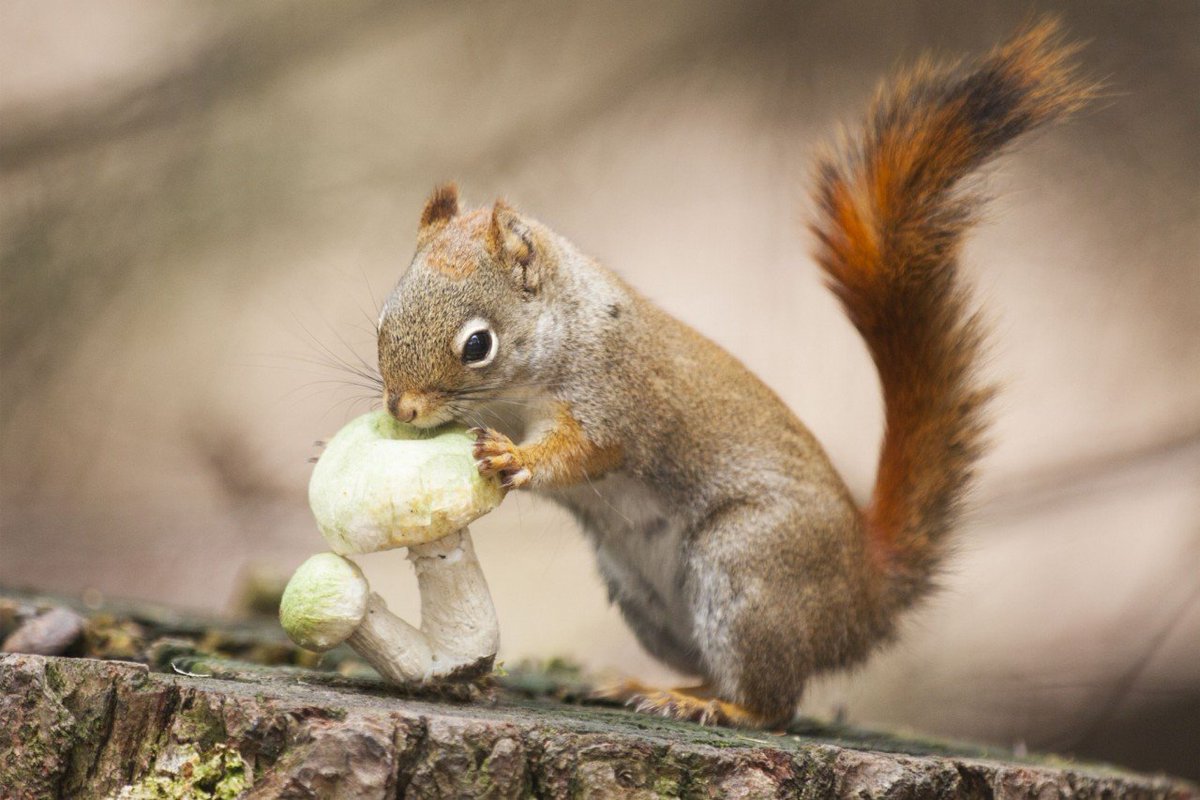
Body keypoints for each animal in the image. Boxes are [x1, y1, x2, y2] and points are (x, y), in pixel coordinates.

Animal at [376, 21, 1099, 729]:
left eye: (478, 344)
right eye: (382, 317)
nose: (402, 411)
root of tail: (863, 597)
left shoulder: (615, 393)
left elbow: (588, 449)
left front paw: (514, 458)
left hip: (747, 572)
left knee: (774, 706)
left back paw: (711, 705)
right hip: (647, 597)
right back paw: (656, 688)